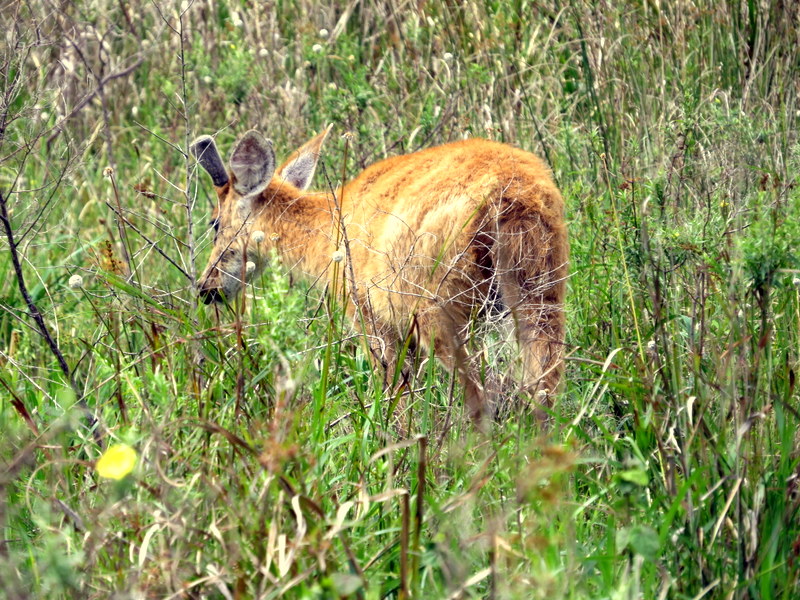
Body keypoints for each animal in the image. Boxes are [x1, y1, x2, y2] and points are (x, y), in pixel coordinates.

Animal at [190, 126, 568, 424]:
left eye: (214, 223)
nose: (206, 287)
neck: (328, 233)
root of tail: (511, 196)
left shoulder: (370, 314)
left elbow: (393, 395)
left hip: (439, 304)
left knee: (483, 395)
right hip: (542, 290)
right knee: (543, 386)